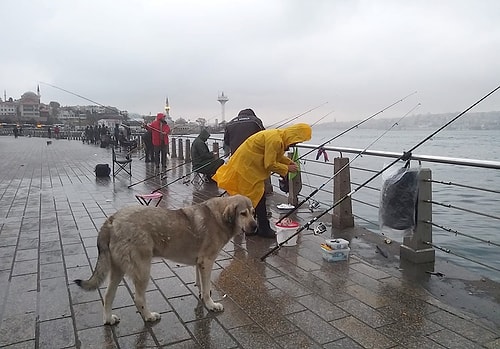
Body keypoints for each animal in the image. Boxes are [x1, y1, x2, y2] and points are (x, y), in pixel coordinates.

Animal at [74, 193, 258, 324]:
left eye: (253, 213)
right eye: (243, 213)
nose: (256, 227)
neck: (218, 216)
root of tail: (112, 220)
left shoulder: (200, 263)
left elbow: (201, 283)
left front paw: (202, 294)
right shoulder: (207, 261)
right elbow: (206, 289)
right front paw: (211, 305)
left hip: (117, 270)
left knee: (107, 296)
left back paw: (108, 319)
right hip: (142, 269)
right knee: (138, 298)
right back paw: (149, 316)